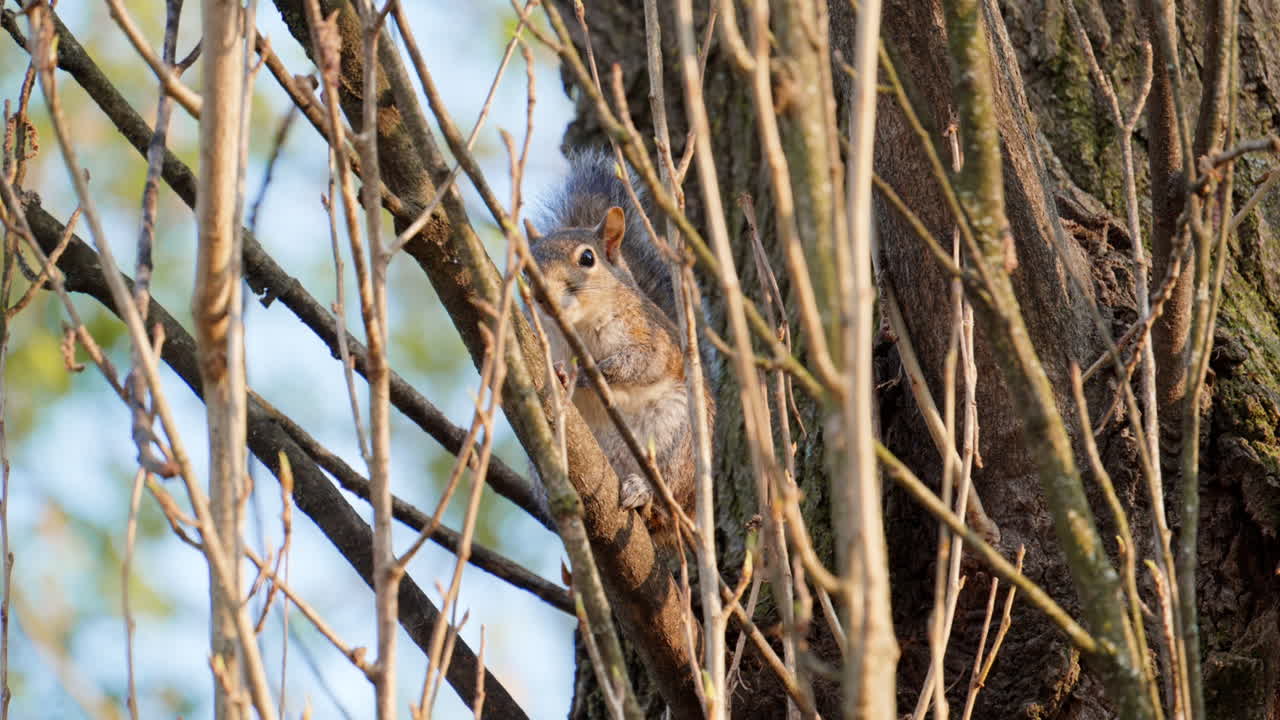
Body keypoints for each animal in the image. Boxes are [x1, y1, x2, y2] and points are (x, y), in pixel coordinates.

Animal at [527, 148, 714, 543]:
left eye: (587, 258)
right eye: (526, 266)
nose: (541, 294)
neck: (577, 327)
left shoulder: (651, 337)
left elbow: (640, 364)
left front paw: (590, 373)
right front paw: (560, 374)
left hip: (676, 439)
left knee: (664, 499)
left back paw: (644, 495)